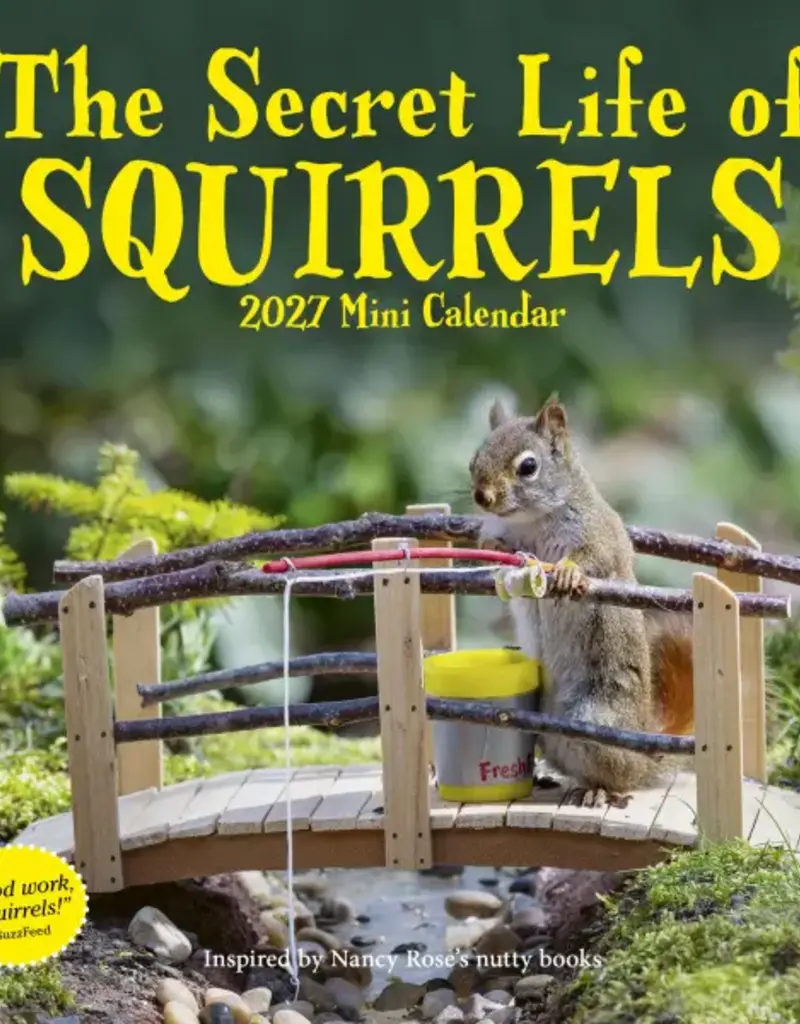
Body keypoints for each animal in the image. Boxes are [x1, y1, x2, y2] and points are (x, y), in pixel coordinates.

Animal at [469, 394, 694, 809]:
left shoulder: (600, 535)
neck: (531, 521)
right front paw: (494, 553)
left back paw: (599, 791)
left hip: (596, 722)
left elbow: (594, 558)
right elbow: (494, 551)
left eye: (528, 466)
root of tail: (643, 757)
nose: (482, 497)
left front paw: (569, 573)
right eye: (474, 460)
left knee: (619, 777)